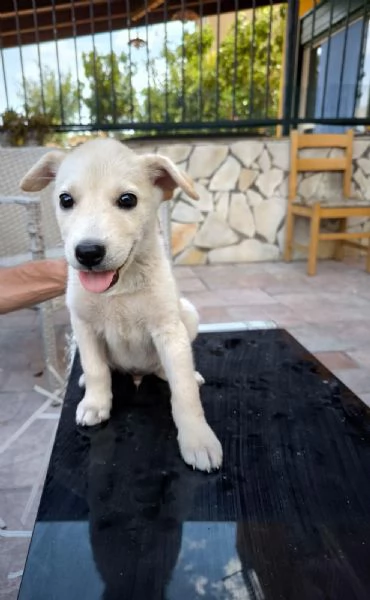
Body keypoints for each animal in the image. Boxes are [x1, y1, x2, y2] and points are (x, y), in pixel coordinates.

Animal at [21, 138, 223, 472]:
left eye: (127, 200)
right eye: (65, 200)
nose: (88, 253)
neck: (120, 287)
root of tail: (137, 372)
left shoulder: (168, 329)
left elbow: (184, 393)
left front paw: (198, 439)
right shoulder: (84, 326)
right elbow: (96, 369)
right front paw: (95, 403)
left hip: (187, 316)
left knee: (169, 370)